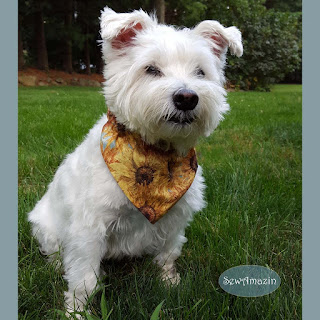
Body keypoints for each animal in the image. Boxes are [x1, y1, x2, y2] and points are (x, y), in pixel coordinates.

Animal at [28, 5, 242, 316]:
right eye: (151, 69)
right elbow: (83, 278)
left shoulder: (175, 219)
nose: (187, 97)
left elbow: (168, 254)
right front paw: (76, 311)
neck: (155, 155)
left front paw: (170, 284)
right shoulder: (88, 228)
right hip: (46, 226)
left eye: (200, 72)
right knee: (55, 252)